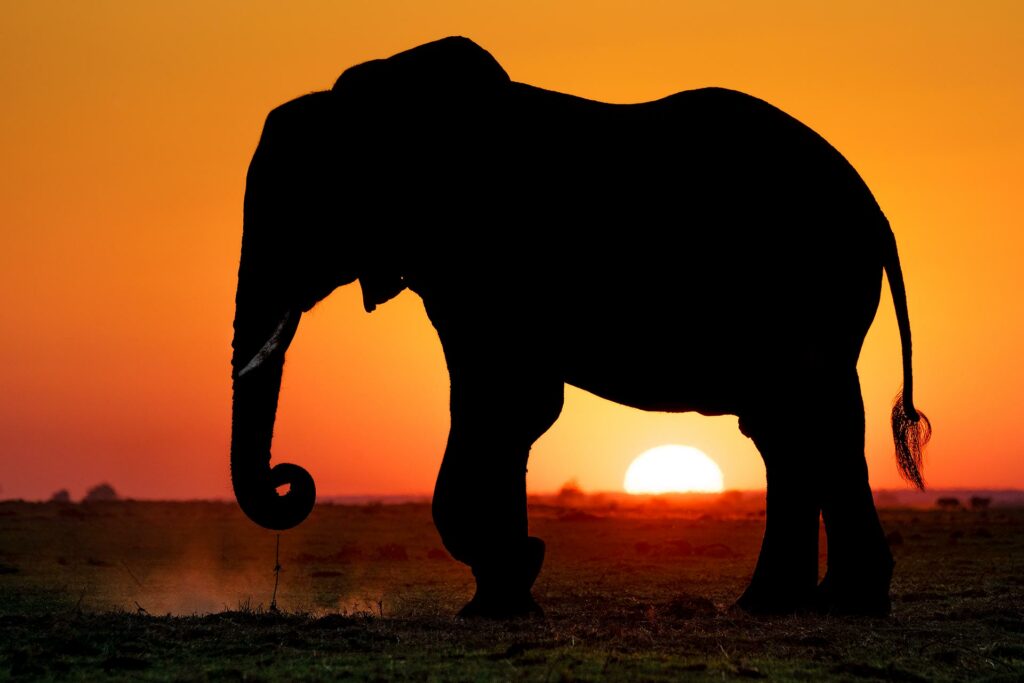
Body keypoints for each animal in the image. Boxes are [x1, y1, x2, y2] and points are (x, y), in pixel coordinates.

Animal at [230, 36, 929, 618]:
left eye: (303, 206)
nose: (292, 479)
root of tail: (874, 208)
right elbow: (512, 406)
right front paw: (504, 592)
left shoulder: (486, 257)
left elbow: (507, 402)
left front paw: (509, 584)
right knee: (788, 423)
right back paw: (779, 604)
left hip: (813, 281)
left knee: (813, 416)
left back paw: (841, 605)